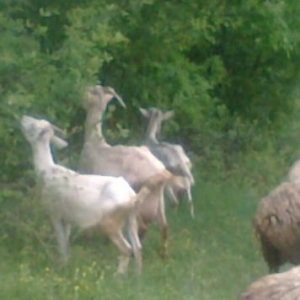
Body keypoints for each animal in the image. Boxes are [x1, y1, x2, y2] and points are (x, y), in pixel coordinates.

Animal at [20, 115, 145, 274]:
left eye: (33, 125)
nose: (23, 117)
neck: (47, 171)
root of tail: (132, 197)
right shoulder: (67, 218)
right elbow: (66, 242)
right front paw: (66, 263)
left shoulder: (55, 214)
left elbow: (61, 241)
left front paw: (61, 266)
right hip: (131, 219)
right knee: (138, 247)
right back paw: (138, 275)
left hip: (111, 222)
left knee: (127, 248)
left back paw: (119, 276)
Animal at [78, 85, 172, 256]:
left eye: (92, 90)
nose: (80, 92)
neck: (94, 141)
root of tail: (161, 172)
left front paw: (87, 239)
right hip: (158, 199)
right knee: (164, 226)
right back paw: (162, 254)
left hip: (141, 199)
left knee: (143, 227)